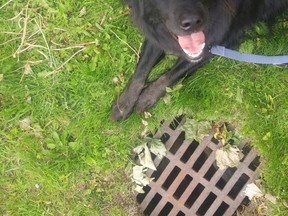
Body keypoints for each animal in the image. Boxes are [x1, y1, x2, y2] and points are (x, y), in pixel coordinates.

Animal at [111, 0, 288, 121]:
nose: (192, 22)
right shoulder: (159, 33)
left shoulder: (216, 42)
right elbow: (141, 70)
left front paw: (147, 96)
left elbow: (170, 75)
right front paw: (124, 104)